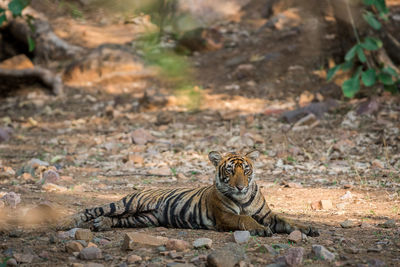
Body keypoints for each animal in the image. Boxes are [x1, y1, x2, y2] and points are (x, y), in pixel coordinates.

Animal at [58, 152, 318, 238]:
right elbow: (244, 218)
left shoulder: (267, 214)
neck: (243, 198)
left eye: (246, 170)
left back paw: (102, 224)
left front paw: (308, 228)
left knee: (116, 219)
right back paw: (68, 222)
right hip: (126, 203)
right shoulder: (225, 216)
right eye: (230, 171)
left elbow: (287, 219)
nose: (241, 187)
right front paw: (261, 230)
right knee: (93, 209)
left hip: (143, 218)